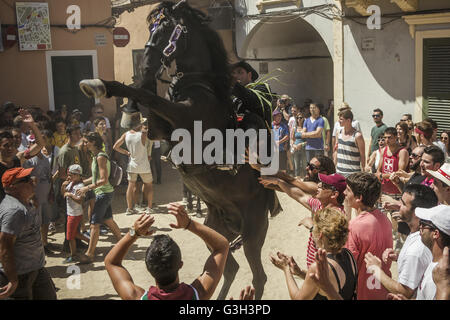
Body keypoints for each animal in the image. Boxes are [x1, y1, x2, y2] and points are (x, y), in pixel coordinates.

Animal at [79, 0, 280, 300]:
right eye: (151, 27)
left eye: (166, 29)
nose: (147, 60)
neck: (198, 85)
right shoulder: (160, 129)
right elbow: (145, 97)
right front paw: (123, 103)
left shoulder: (182, 117)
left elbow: (149, 96)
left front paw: (109, 90)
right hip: (216, 228)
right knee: (227, 266)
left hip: (253, 232)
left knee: (259, 276)